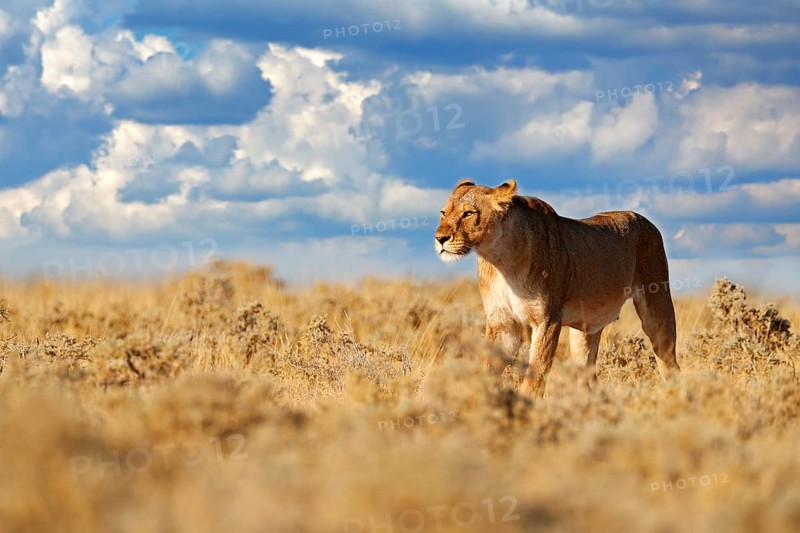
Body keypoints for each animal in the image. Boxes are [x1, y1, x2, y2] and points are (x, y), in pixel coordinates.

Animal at [434, 179, 680, 397]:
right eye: (443, 213)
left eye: (468, 214)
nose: (440, 238)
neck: (500, 260)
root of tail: (644, 219)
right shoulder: (502, 322)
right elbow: (489, 365)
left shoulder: (548, 319)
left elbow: (536, 373)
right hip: (582, 335)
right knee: (588, 378)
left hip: (657, 309)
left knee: (670, 364)